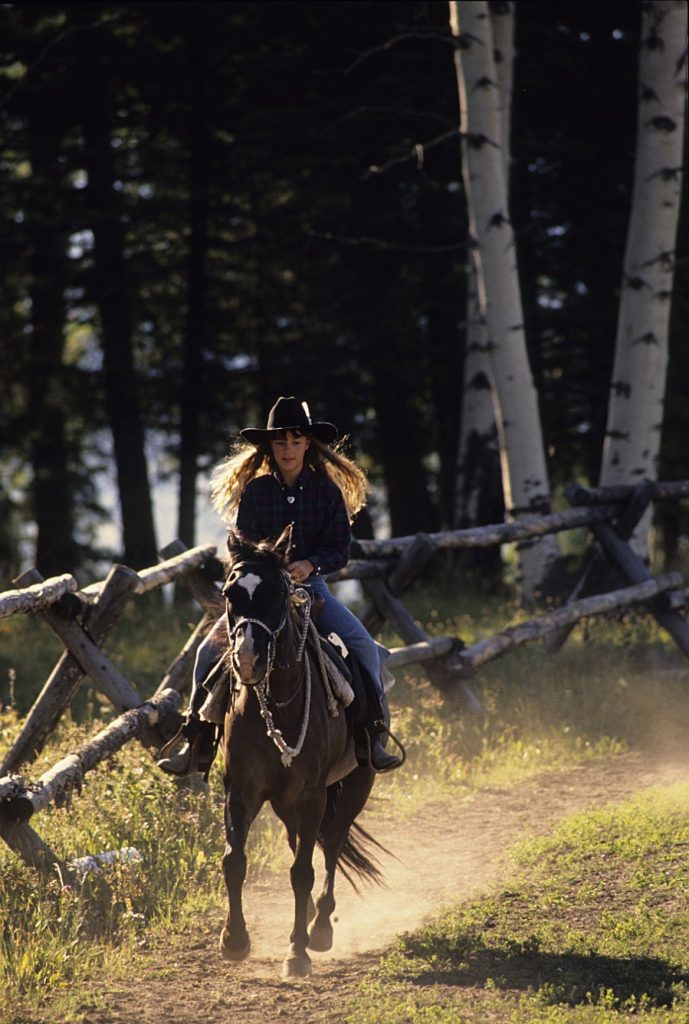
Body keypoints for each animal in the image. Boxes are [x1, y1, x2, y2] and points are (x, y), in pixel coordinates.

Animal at [219, 528, 384, 974]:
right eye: (229, 593)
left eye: (277, 593)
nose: (247, 660)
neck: (278, 705)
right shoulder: (240, 793)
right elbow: (234, 861)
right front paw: (235, 941)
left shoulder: (312, 796)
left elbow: (303, 872)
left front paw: (298, 952)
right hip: (286, 803)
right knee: (302, 843)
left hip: (354, 785)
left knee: (332, 844)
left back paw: (321, 925)